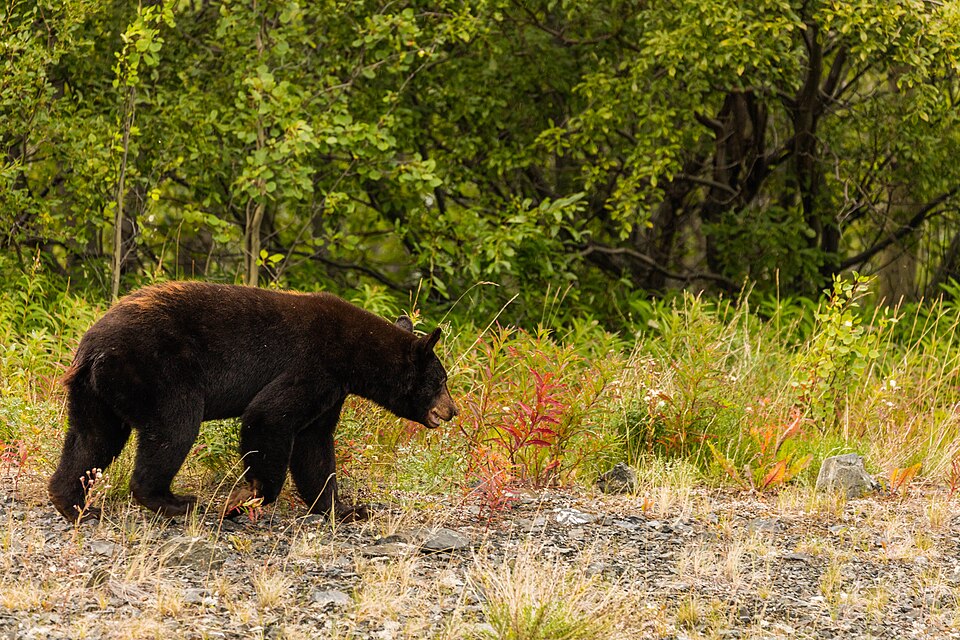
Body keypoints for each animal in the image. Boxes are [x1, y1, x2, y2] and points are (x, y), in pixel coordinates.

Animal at [48, 281, 458, 523]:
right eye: (441, 380)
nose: (452, 411)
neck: (354, 354)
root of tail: (92, 348)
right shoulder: (312, 366)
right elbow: (268, 417)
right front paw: (245, 498)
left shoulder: (331, 392)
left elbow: (314, 447)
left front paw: (346, 508)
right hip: (158, 370)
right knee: (174, 426)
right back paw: (177, 502)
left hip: (96, 391)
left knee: (91, 438)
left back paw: (74, 504)